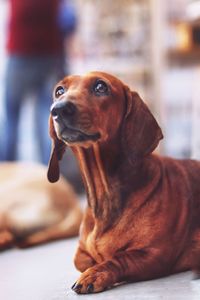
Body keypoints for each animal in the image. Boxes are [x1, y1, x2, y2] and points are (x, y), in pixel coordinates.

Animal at [47, 72, 200, 292]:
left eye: (100, 87)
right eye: (59, 91)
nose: (58, 109)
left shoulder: (154, 254)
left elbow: (118, 259)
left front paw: (94, 274)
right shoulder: (81, 253)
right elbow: (83, 259)